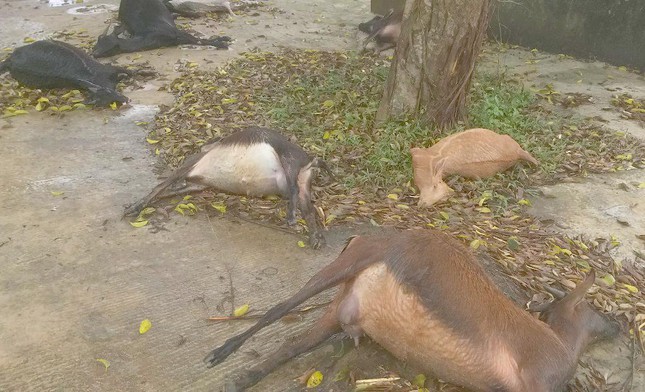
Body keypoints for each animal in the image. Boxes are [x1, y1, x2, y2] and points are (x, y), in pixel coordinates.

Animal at [124, 125, 330, 248]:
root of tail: (310, 161)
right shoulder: (197, 183)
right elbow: (167, 190)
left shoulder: (190, 164)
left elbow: (160, 185)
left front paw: (136, 206)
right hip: (302, 181)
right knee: (307, 208)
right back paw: (315, 236)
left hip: (289, 161)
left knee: (294, 191)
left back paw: (292, 217)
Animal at [204, 230, 616, 392]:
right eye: (593, 307)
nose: (616, 324)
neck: (562, 344)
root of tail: (359, 237)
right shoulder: (538, 379)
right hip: (349, 263)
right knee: (278, 308)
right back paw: (217, 354)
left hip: (342, 307)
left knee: (293, 343)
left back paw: (239, 378)